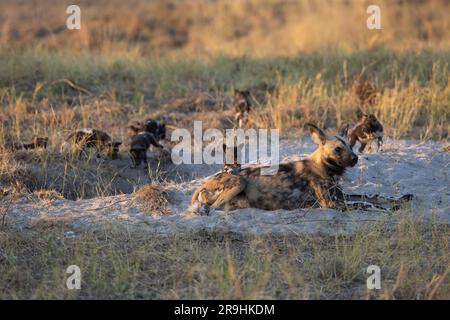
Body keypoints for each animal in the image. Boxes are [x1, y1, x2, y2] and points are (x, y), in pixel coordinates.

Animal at [190, 123, 412, 212]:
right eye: (338, 149)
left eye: (350, 146)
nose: (356, 159)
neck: (326, 168)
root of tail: (205, 182)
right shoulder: (331, 203)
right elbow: (366, 204)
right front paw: (388, 209)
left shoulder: (341, 196)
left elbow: (371, 196)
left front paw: (400, 199)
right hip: (239, 182)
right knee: (212, 207)